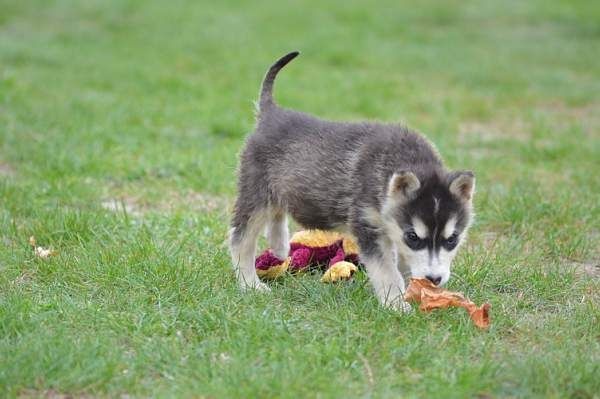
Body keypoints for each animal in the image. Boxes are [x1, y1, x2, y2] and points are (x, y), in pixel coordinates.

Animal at [227, 50, 476, 312]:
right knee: (240, 239)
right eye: (413, 237)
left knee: (277, 212)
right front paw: (396, 304)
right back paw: (250, 284)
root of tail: (270, 112)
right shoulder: (368, 227)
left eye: (452, 239)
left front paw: (413, 291)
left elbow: (402, 264)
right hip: (256, 193)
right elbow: (387, 271)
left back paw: (279, 246)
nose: (434, 279)